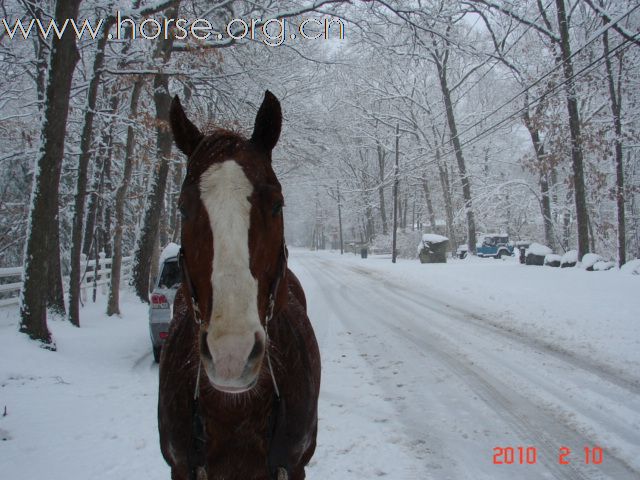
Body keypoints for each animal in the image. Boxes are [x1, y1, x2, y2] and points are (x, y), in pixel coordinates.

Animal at [158, 91, 322, 480]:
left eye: (277, 204)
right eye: (182, 208)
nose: (231, 354)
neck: (233, 412)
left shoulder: (294, 466)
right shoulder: (180, 469)